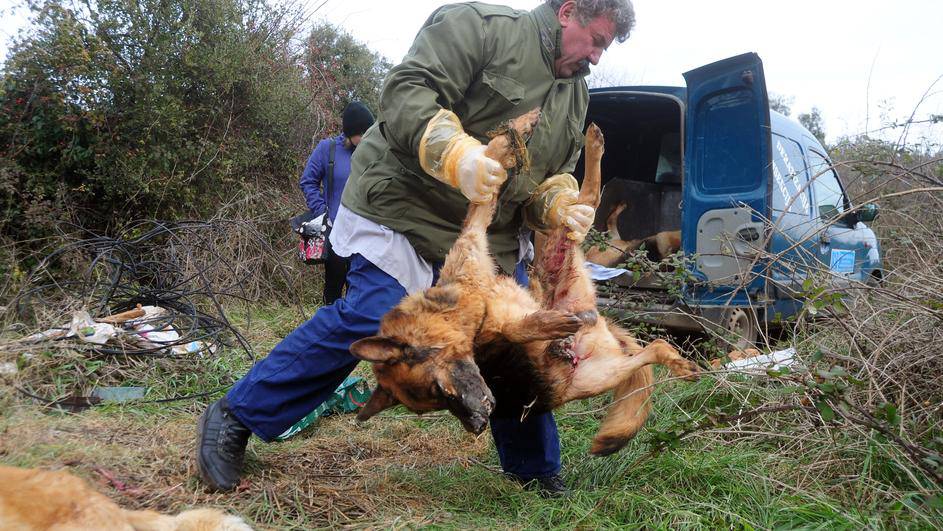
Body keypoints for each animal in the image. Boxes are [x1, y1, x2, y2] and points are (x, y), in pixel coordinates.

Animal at [350, 110, 696, 456]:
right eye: (434, 403)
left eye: (439, 390)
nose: (478, 425)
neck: (467, 307)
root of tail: (599, 324)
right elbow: (512, 329)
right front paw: (544, 326)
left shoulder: (474, 231)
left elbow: (489, 168)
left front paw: (513, 131)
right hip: (597, 375)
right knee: (654, 347)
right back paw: (677, 364)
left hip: (558, 257)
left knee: (586, 201)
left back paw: (591, 144)